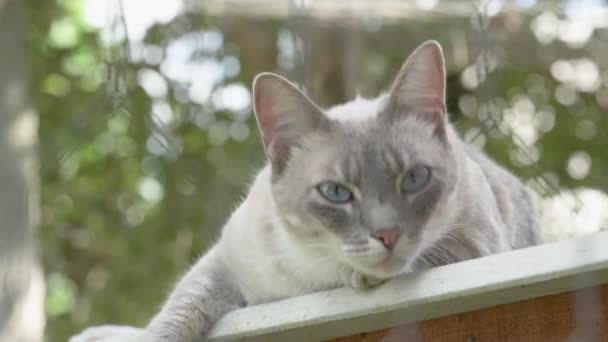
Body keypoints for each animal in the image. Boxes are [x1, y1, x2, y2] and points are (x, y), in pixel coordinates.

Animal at [69, 40, 540, 342]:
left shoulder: (473, 244)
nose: (387, 235)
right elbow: (176, 315)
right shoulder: (223, 263)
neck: (309, 280)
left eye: (414, 178)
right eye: (335, 192)